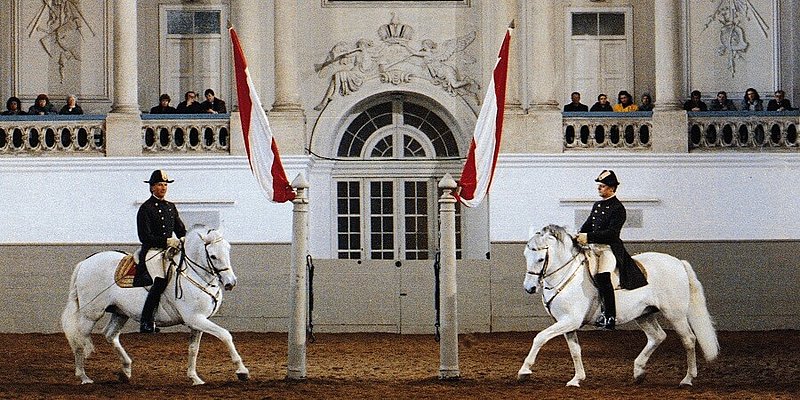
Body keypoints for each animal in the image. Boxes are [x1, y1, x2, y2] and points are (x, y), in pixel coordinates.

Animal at [61, 227, 248, 386]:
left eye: (228, 250)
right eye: (213, 256)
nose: (231, 283)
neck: (195, 275)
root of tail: (85, 263)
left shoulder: (198, 321)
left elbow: (193, 349)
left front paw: (195, 378)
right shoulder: (195, 319)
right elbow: (225, 335)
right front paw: (242, 371)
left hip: (120, 313)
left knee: (110, 335)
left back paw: (125, 371)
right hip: (90, 314)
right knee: (79, 340)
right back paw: (84, 377)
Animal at [520, 223, 720, 386]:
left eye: (540, 259)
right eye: (525, 255)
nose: (529, 288)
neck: (567, 274)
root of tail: (678, 262)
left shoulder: (570, 320)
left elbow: (540, 337)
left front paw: (524, 371)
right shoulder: (567, 323)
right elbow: (575, 350)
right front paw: (577, 379)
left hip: (675, 314)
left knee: (688, 339)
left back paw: (687, 379)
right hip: (644, 314)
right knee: (657, 336)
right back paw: (638, 372)